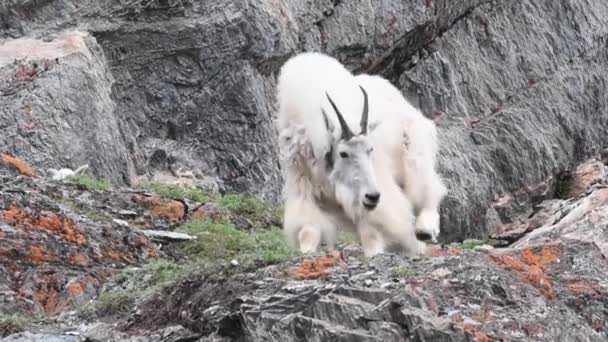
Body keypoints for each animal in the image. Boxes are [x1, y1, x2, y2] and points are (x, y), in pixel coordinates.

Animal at [276, 51, 446, 256]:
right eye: (343, 153)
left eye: (370, 149)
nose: (372, 197)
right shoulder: (302, 178)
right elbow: (308, 229)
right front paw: (307, 250)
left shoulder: (377, 180)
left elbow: (374, 228)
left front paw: (377, 251)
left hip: (414, 150)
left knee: (427, 188)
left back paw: (424, 231)